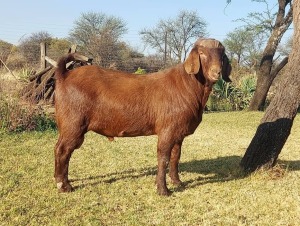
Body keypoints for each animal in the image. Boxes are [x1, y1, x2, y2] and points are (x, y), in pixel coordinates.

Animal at [54, 38, 232, 195]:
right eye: (202, 53)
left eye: (222, 55)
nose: (216, 72)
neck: (187, 84)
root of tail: (64, 75)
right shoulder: (167, 130)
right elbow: (163, 158)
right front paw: (163, 190)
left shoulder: (178, 132)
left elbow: (176, 157)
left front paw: (177, 182)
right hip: (73, 124)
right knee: (63, 150)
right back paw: (63, 185)